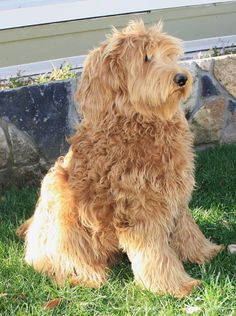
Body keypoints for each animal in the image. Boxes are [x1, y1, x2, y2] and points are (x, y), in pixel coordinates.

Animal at [18, 21, 223, 298]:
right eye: (146, 58)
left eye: (169, 55)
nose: (182, 78)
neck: (138, 121)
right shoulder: (140, 209)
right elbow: (156, 253)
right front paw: (174, 285)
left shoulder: (174, 195)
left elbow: (187, 229)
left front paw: (206, 252)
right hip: (61, 207)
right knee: (66, 260)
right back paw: (88, 276)